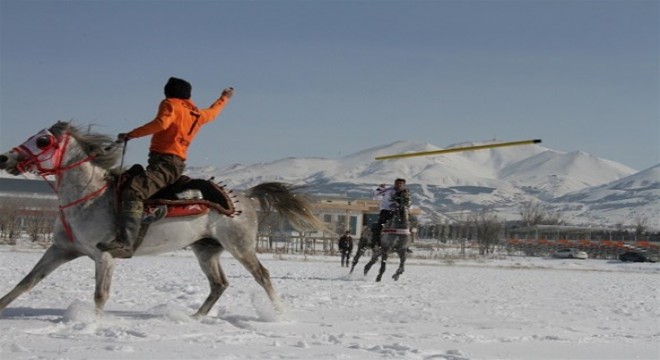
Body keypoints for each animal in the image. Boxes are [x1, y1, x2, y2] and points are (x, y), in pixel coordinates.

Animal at [0, 121, 324, 318]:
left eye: (43, 140)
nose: (5, 158)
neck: (89, 196)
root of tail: (244, 196)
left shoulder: (103, 256)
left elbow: (100, 295)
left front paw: (94, 323)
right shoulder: (61, 249)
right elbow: (26, 282)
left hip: (240, 246)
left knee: (262, 275)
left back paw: (280, 313)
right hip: (206, 249)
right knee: (219, 284)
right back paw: (196, 317)